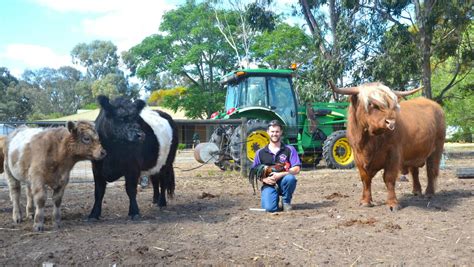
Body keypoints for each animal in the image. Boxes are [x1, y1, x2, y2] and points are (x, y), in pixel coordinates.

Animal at [330, 82, 444, 211]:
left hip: (437, 148)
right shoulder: (358, 156)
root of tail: (434, 104)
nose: (391, 122)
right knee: (415, 171)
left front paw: (393, 203)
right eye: (371, 104)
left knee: (431, 170)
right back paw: (416, 191)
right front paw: (366, 201)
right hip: (414, 152)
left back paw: (429, 193)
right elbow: (365, 178)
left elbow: (389, 178)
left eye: (391, 105)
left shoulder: (393, 155)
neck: (368, 143)